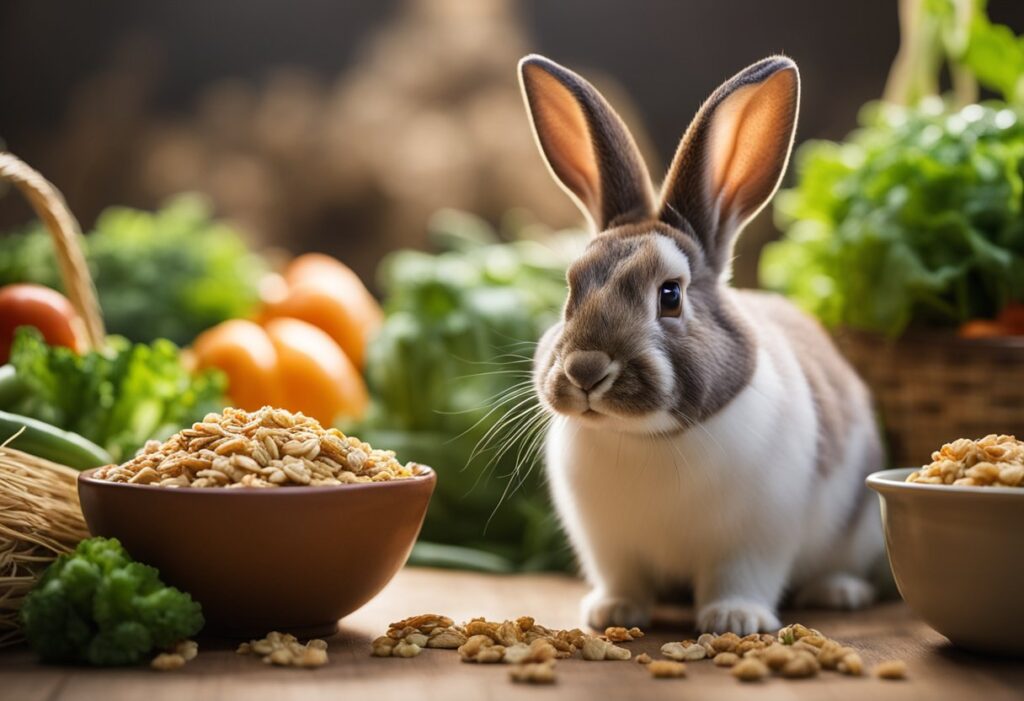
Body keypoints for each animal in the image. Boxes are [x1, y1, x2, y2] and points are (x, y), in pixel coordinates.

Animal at [516, 54, 884, 634]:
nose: (586, 370)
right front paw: (611, 611)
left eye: (670, 295)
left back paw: (839, 592)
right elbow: (623, 579)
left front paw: (734, 620)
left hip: (860, 525)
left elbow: (741, 578)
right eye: (572, 287)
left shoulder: (754, 539)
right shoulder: (610, 547)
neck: (645, 439)